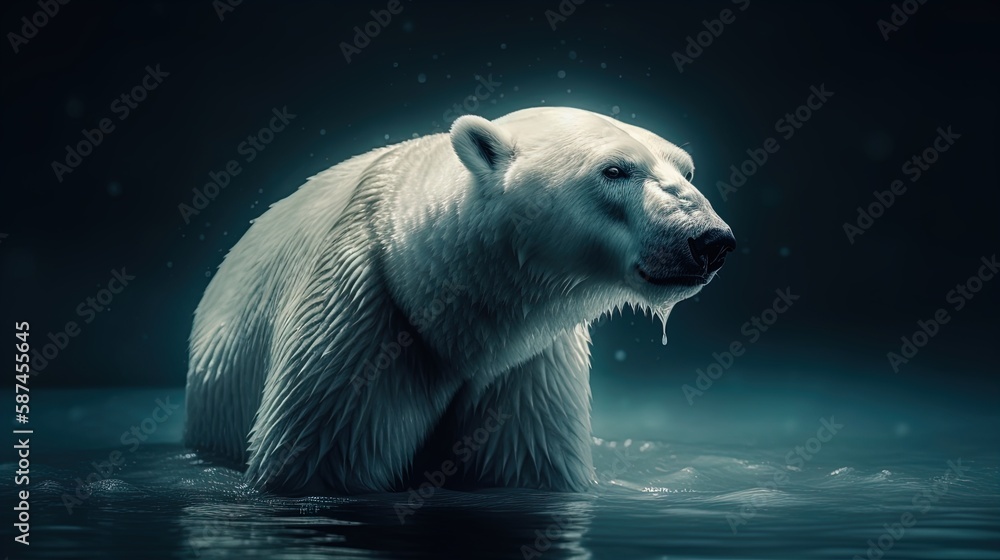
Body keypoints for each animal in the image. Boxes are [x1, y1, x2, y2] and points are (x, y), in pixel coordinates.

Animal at [184, 106, 735, 495]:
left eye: (687, 170)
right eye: (615, 170)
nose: (710, 240)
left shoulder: (527, 367)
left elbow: (524, 463)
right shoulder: (362, 323)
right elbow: (325, 458)